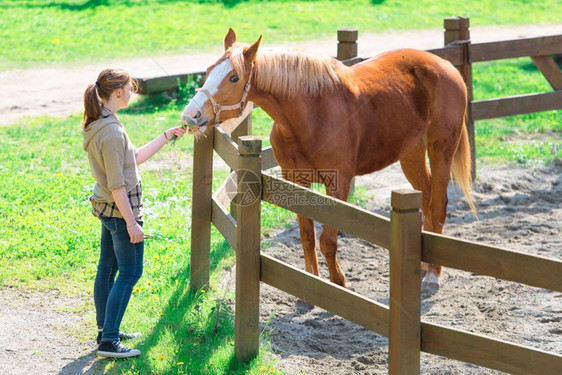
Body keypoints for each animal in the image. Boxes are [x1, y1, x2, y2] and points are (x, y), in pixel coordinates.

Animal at [182, 30, 474, 294]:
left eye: (234, 77)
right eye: (208, 70)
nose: (191, 115)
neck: (313, 113)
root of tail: (446, 66)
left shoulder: (338, 185)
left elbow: (328, 240)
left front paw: (339, 282)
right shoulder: (296, 181)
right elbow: (307, 236)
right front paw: (312, 285)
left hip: (441, 149)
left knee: (438, 205)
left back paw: (433, 275)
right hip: (411, 154)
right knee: (426, 201)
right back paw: (424, 267)